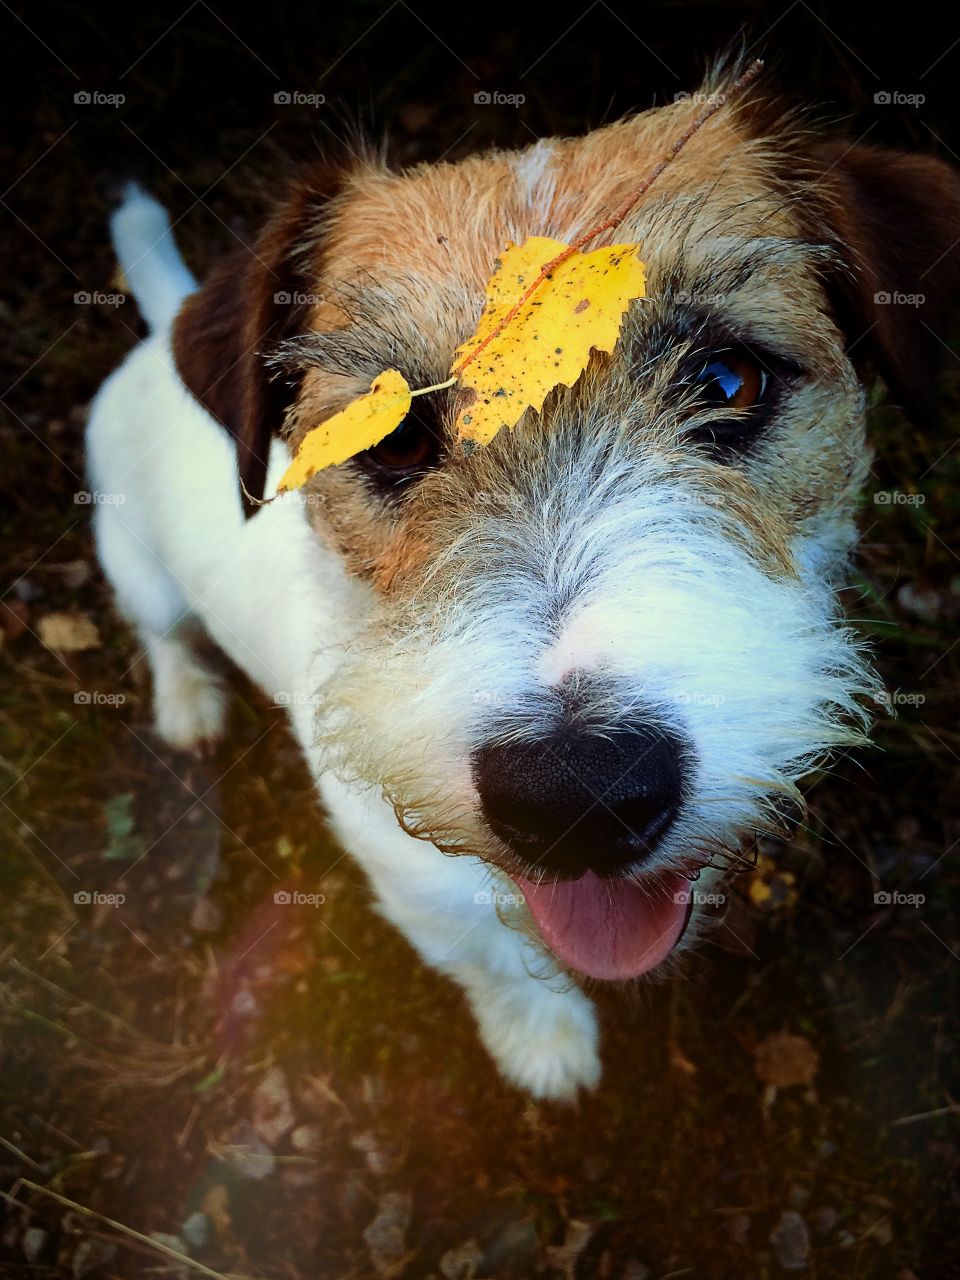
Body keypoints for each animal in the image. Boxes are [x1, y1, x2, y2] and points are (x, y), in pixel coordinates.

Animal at [88, 57, 960, 1100]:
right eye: (390, 436)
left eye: (727, 381)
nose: (575, 792)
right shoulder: (417, 885)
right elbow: (496, 966)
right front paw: (543, 1044)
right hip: (139, 569)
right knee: (162, 634)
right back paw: (186, 702)